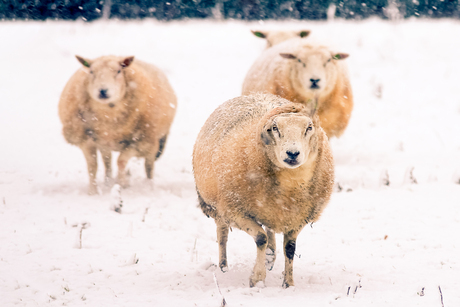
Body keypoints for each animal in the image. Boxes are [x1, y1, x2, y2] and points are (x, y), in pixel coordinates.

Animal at [58, 55, 177, 195]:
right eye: (91, 71)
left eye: (119, 71)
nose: (103, 91)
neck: (108, 113)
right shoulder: (85, 140)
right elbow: (92, 166)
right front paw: (93, 192)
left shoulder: (138, 142)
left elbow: (121, 161)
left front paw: (123, 184)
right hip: (104, 143)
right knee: (107, 162)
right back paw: (108, 181)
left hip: (150, 143)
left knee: (149, 166)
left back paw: (149, 186)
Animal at [193, 93, 334, 288]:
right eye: (275, 128)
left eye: (309, 127)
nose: (292, 153)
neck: (291, 186)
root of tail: (255, 94)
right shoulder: (236, 211)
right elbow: (260, 238)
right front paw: (257, 279)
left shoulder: (299, 218)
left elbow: (289, 248)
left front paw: (288, 283)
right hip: (218, 206)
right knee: (223, 236)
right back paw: (223, 268)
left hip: (268, 209)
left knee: (270, 229)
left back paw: (270, 257)